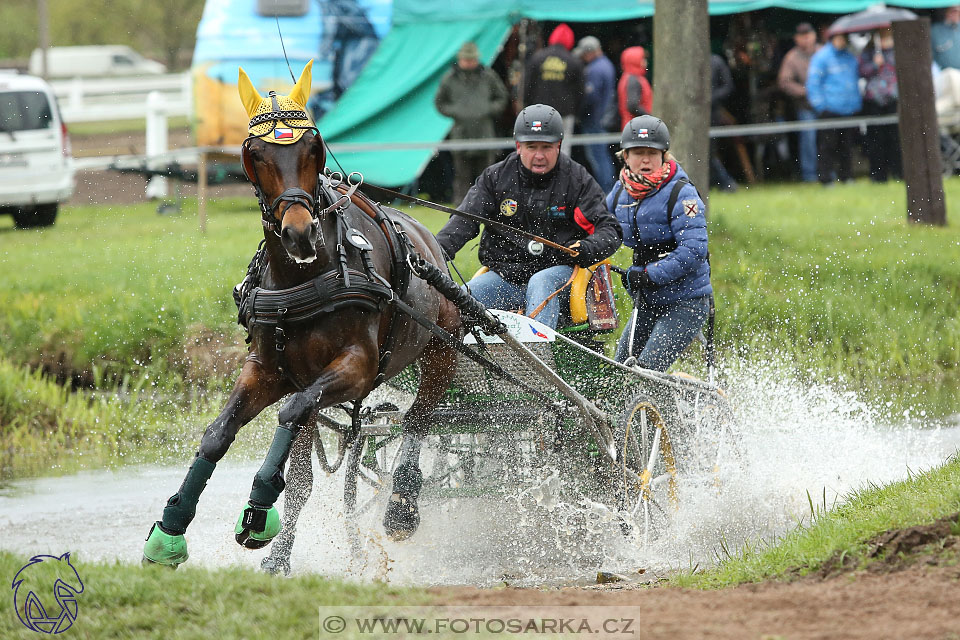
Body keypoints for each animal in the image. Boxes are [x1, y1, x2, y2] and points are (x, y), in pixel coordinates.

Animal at [140, 60, 464, 568]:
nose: (298, 233)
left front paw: (259, 506)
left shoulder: (356, 367)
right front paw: (171, 527)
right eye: (255, 153)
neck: (306, 279)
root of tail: (429, 244)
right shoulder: (271, 370)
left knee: (417, 420)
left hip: (440, 351)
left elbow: (290, 417)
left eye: (313, 146)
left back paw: (402, 506)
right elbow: (220, 433)